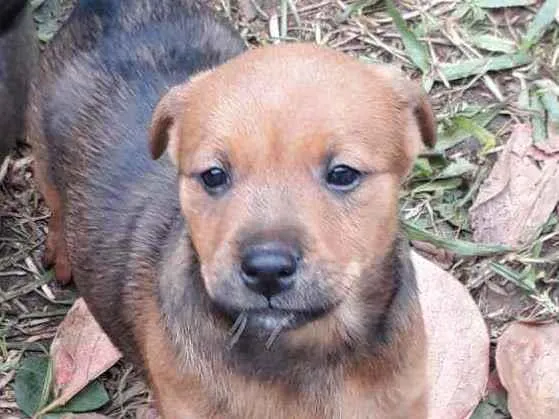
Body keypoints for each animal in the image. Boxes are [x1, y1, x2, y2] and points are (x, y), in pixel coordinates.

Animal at [31, 1, 438, 418]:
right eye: (213, 175)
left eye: (343, 173)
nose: (267, 270)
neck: (307, 353)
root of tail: (114, 7)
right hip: (41, 149)